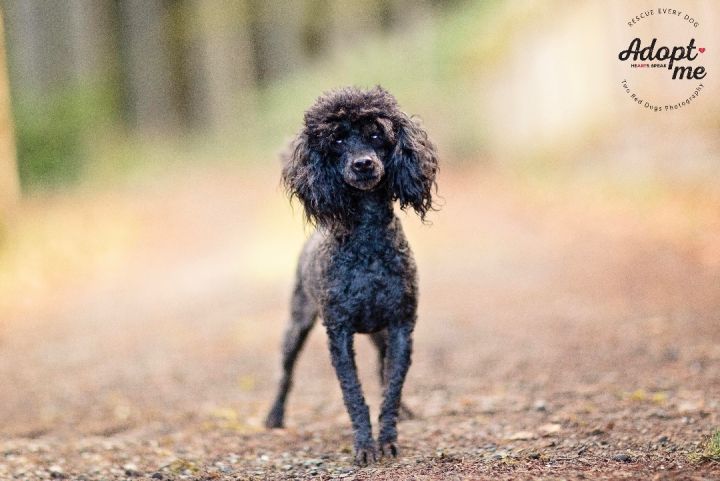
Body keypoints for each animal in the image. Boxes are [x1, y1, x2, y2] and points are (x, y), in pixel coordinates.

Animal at [262, 86, 436, 464]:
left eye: (377, 135)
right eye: (338, 140)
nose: (363, 164)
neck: (368, 244)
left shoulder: (401, 325)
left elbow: (391, 386)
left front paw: (387, 440)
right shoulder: (338, 333)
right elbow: (353, 393)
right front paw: (365, 446)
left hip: (379, 332)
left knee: (382, 365)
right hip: (297, 323)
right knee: (285, 373)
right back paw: (274, 416)